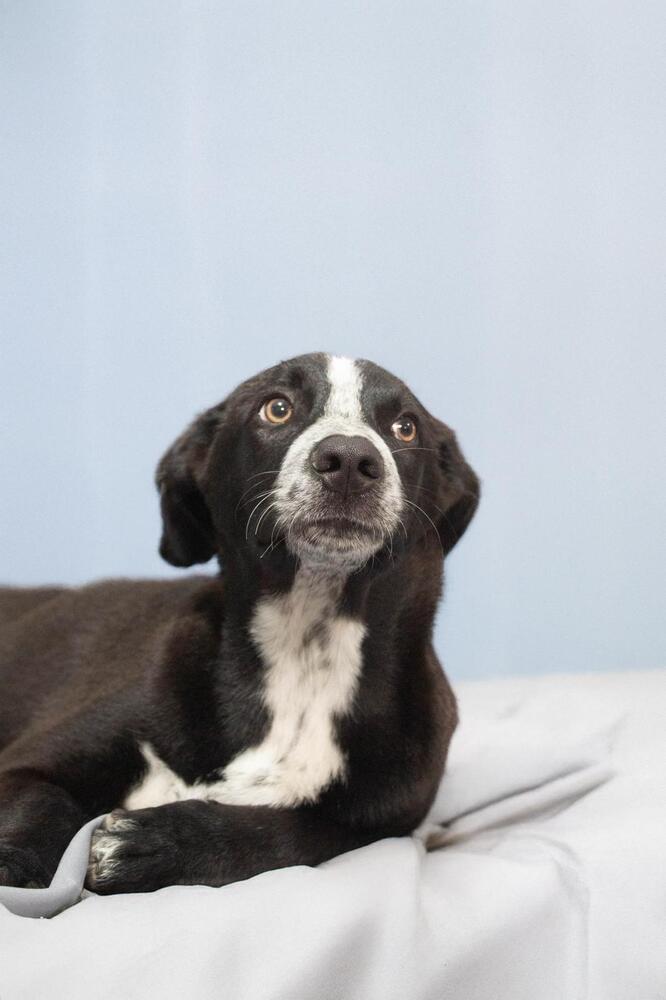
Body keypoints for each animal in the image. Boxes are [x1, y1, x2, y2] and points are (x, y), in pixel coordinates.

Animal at [0, 352, 478, 892]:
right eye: (277, 408)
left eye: (405, 427)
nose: (351, 462)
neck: (304, 655)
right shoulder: (26, 764)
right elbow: (43, 803)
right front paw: (17, 862)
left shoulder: (375, 826)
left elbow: (282, 835)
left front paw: (158, 842)